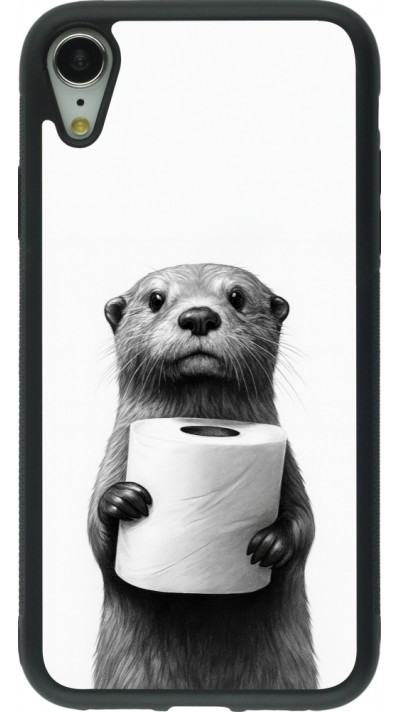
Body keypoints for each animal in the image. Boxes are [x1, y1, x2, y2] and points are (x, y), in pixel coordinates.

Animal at [88, 263, 317, 690]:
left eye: (237, 297)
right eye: (156, 299)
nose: (198, 316)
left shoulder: (289, 467)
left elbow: (306, 524)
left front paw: (272, 543)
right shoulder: (114, 456)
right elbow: (96, 538)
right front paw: (120, 500)